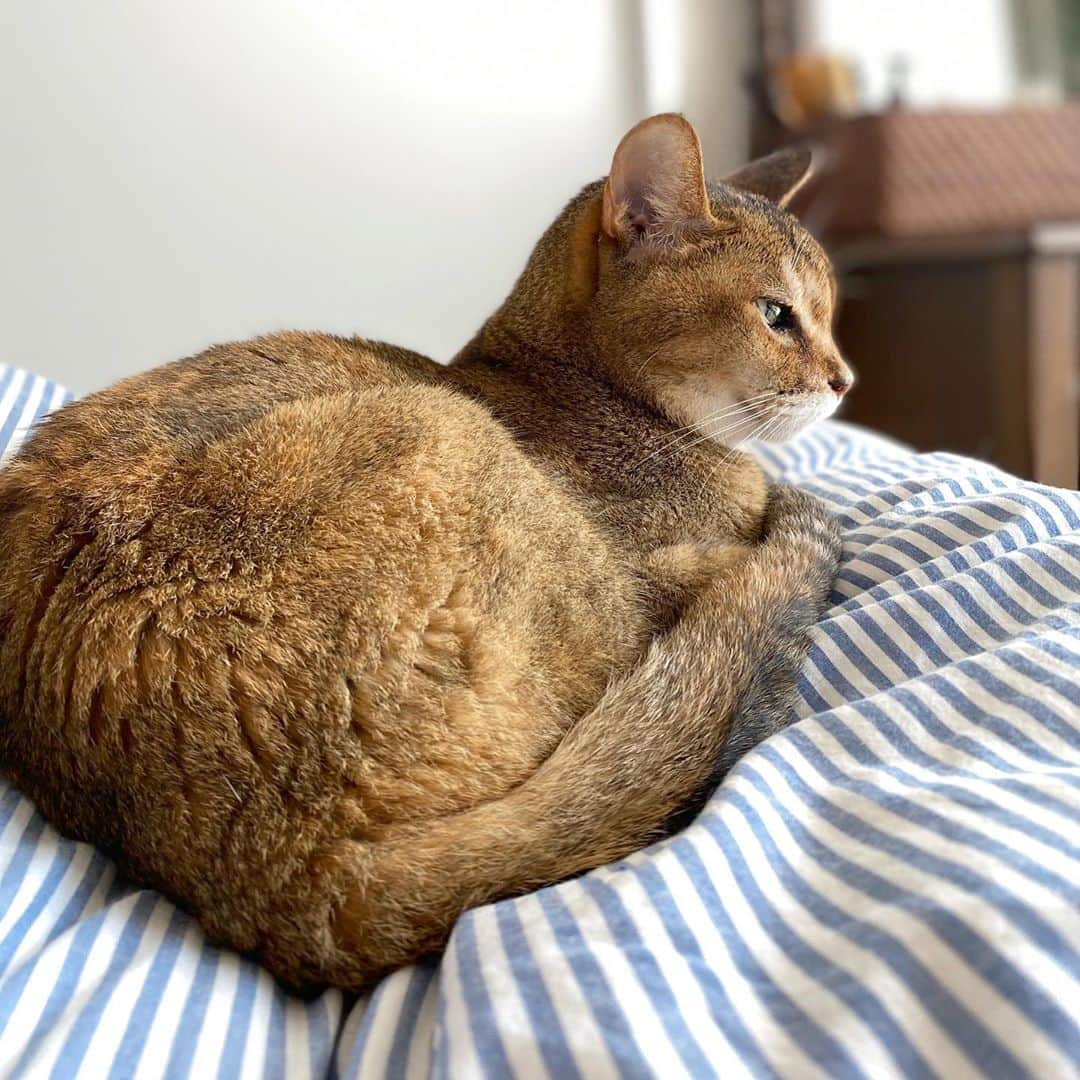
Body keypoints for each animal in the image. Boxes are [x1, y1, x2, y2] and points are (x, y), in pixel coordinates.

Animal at [0, 113, 851, 989]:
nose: (844, 380)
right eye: (777, 314)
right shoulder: (644, 555)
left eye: (825, 316)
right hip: (455, 454)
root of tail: (289, 869)